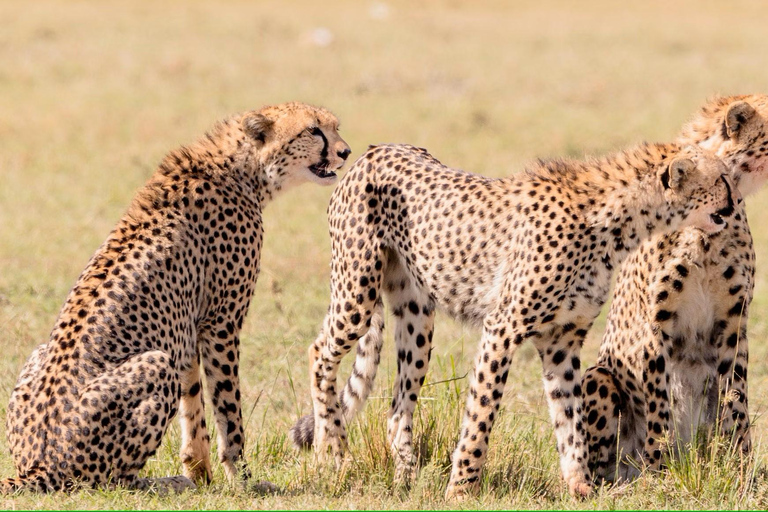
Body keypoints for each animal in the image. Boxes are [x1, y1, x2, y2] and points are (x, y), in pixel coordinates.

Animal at [0, 101, 352, 492]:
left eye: (335, 127)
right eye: (313, 130)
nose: (345, 152)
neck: (242, 168)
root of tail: (36, 466)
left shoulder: (187, 327)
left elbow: (193, 399)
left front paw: (201, 472)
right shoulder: (220, 323)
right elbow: (228, 407)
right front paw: (242, 478)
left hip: (40, 352)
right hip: (153, 367)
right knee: (106, 481)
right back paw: (161, 482)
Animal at [292, 141, 736, 500]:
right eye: (722, 180)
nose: (734, 208)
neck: (617, 223)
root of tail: (374, 150)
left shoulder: (562, 339)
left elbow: (569, 417)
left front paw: (579, 485)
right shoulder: (502, 328)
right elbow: (482, 413)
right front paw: (461, 489)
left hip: (416, 318)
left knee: (398, 406)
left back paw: (405, 478)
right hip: (357, 291)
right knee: (318, 353)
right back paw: (332, 450)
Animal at [584, 96, 768, 484]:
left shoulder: (733, 323)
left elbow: (735, 397)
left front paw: (739, 468)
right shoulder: (657, 325)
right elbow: (659, 404)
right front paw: (660, 471)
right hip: (599, 377)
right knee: (603, 463)